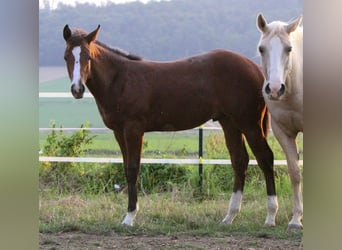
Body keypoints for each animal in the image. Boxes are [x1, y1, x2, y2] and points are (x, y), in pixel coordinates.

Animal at [62, 24, 278, 227]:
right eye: (66, 57)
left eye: (88, 57)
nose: (77, 89)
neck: (120, 80)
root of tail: (255, 68)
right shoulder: (118, 132)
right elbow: (126, 169)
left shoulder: (133, 129)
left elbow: (133, 169)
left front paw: (130, 217)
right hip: (230, 123)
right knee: (239, 161)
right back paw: (229, 217)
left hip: (249, 124)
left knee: (265, 158)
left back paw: (270, 216)